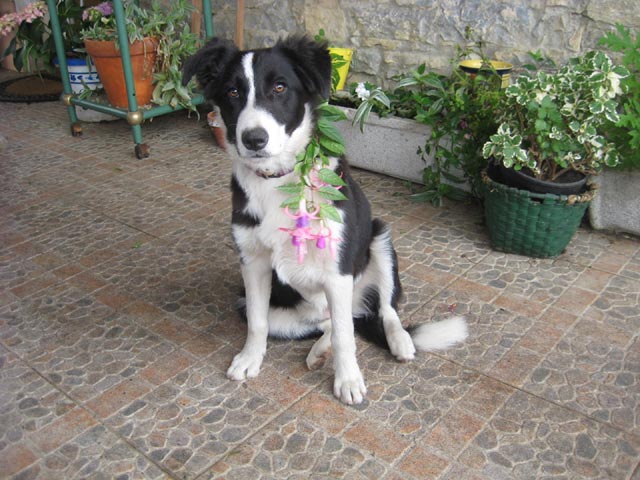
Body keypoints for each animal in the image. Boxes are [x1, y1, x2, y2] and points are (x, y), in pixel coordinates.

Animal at [182, 35, 468, 404]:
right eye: (232, 92)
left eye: (279, 87)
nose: (254, 139)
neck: (278, 181)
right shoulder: (253, 263)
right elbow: (258, 323)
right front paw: (249, 359)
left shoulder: (337, 269)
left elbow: (348, 336)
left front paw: (348, 380)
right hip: (263, 305)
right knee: (330, 323)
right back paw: (320, 351)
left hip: (379, 239)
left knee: (381, 310)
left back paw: (400, 341)